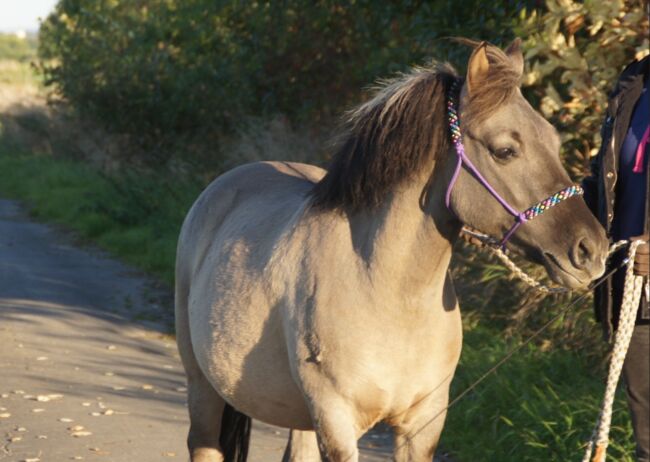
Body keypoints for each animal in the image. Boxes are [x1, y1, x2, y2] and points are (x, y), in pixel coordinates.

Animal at [173, 40, 608, 462]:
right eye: (505, 151)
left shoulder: (422, 426)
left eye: (552, 140)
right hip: (205, 388)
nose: (591, 249)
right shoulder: (337, 423)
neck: (386, 291)